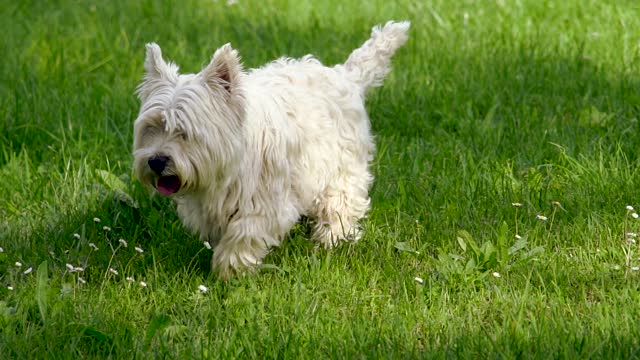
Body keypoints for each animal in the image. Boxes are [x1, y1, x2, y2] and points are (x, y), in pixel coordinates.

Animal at [132, 21, 410, 278]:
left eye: (184, 132)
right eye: (151, 127)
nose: (156, 161)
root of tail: (344, 77)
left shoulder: (265, 201)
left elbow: (243, 233)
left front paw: (230, 272)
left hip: (341, 168)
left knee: (339, 204)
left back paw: (332, 239)